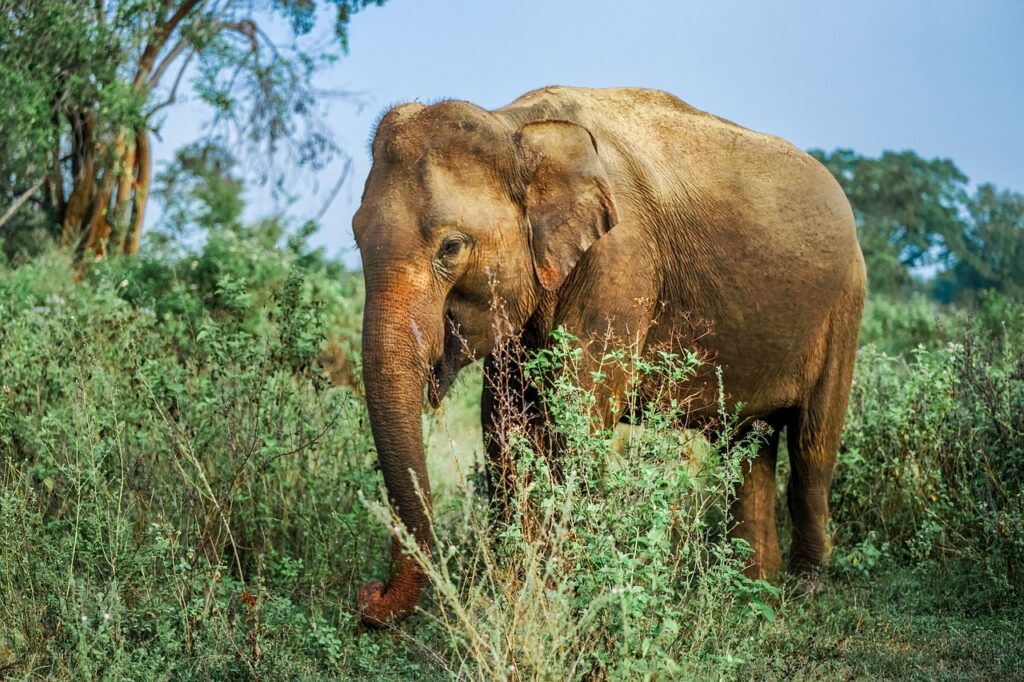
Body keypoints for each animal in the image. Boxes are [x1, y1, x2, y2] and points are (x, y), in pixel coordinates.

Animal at [352, 86, 864, 626]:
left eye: (451, 247)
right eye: (356, 237)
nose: (369, 594)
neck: (516, 128)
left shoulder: (621, 263)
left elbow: (575, 421)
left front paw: (553, 601)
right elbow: (503, 426)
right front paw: (516, 595)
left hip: (845, 305)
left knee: (812, 448)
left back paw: (804, 590)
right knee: (748, 445)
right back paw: (753, 594)